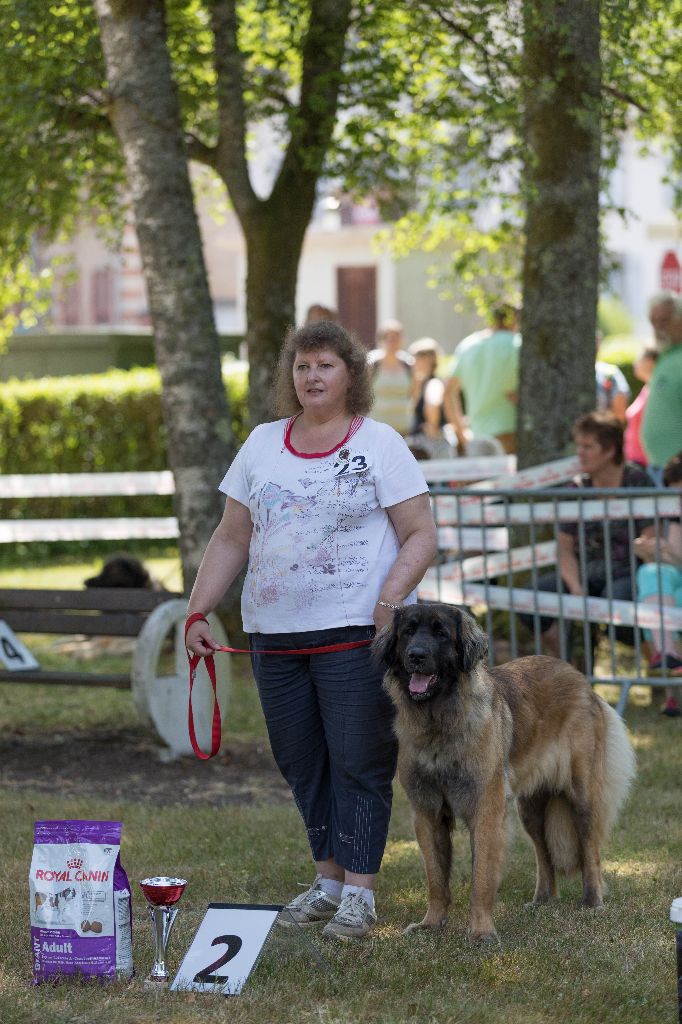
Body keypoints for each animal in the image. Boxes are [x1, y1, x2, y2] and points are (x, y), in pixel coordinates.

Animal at [374, 598, 634, 942]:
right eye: (408, 632)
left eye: (441, 634)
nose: (416, 655)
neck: (439, 722)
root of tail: (580, 678)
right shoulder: (427, 813)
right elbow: (436, 878)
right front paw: (431, 923)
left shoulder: (486, 808)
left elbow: (482, 876)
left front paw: (481, 931)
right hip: (531, 810)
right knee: (543, 853)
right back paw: (542, 900)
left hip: (582, 798)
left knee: (590, 850)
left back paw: (592, 902)